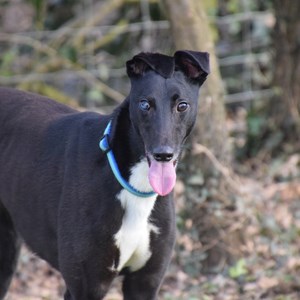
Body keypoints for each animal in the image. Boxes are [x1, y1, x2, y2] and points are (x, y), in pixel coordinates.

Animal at [0, 50, 209, 298]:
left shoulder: (145, 284)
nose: (163, 154)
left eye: (182, 105)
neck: (133, 186)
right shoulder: (86, 287)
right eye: (145, 104)